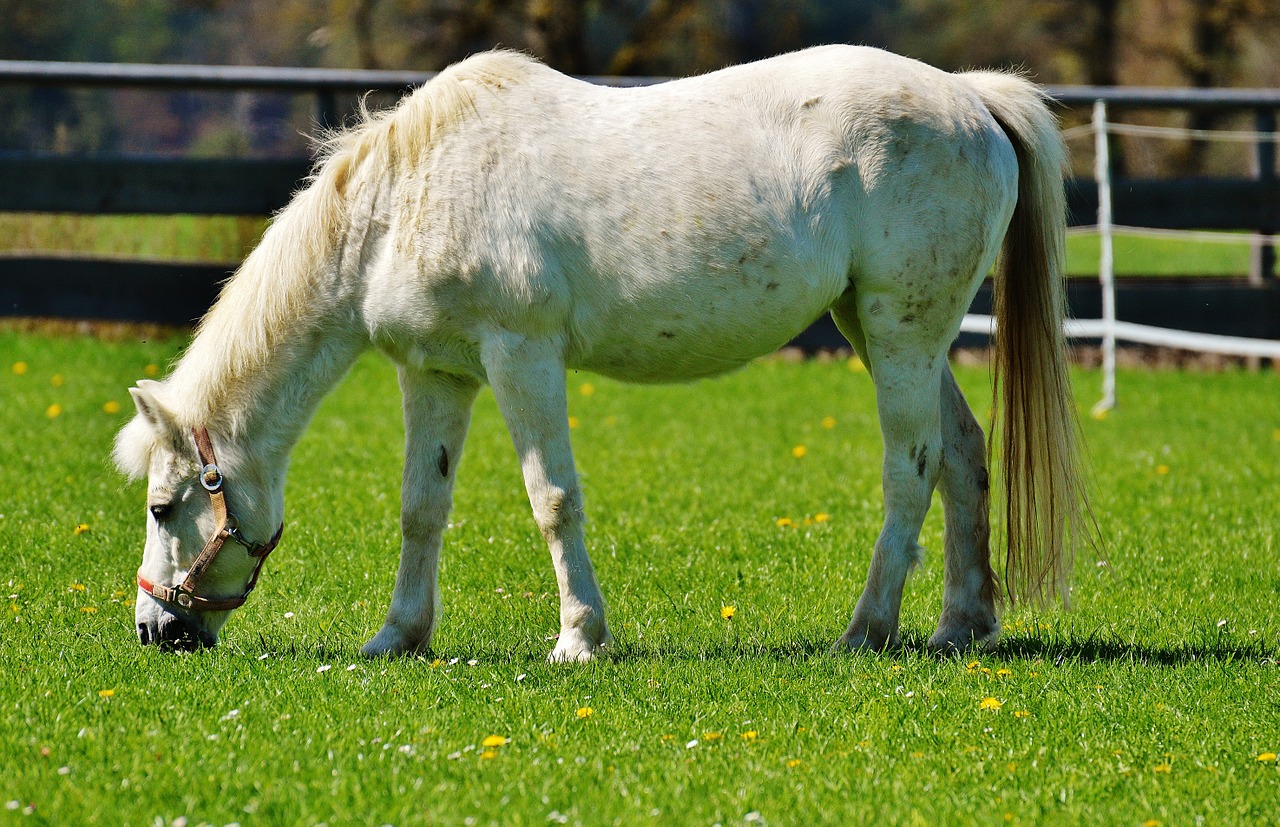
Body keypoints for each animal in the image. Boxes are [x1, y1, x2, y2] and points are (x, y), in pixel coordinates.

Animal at [115, 48, 1085, 665]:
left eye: (165, 507)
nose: (156, 630)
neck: (406, 196)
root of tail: (970, 98)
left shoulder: (522, 358)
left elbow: (553, 499)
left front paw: (579, 637)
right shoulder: (437, 373)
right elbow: (422, 508)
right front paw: (398, 636)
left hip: (898, 334)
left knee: (910, 468)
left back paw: (867, 629)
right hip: (893, 333)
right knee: (963, 454)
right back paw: (963, 623)